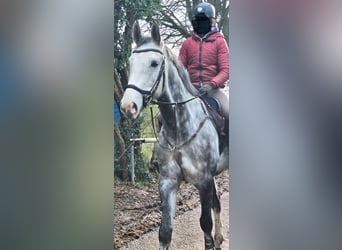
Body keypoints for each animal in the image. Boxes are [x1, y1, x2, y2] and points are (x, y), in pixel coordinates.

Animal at [121, 22, 230, 249]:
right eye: (130, 63)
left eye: (154, 63)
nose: (128, 106)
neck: (179, 128)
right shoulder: (168, 182)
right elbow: (165, 232)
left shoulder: (204, 181)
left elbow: (205, 224)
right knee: (217, 203)